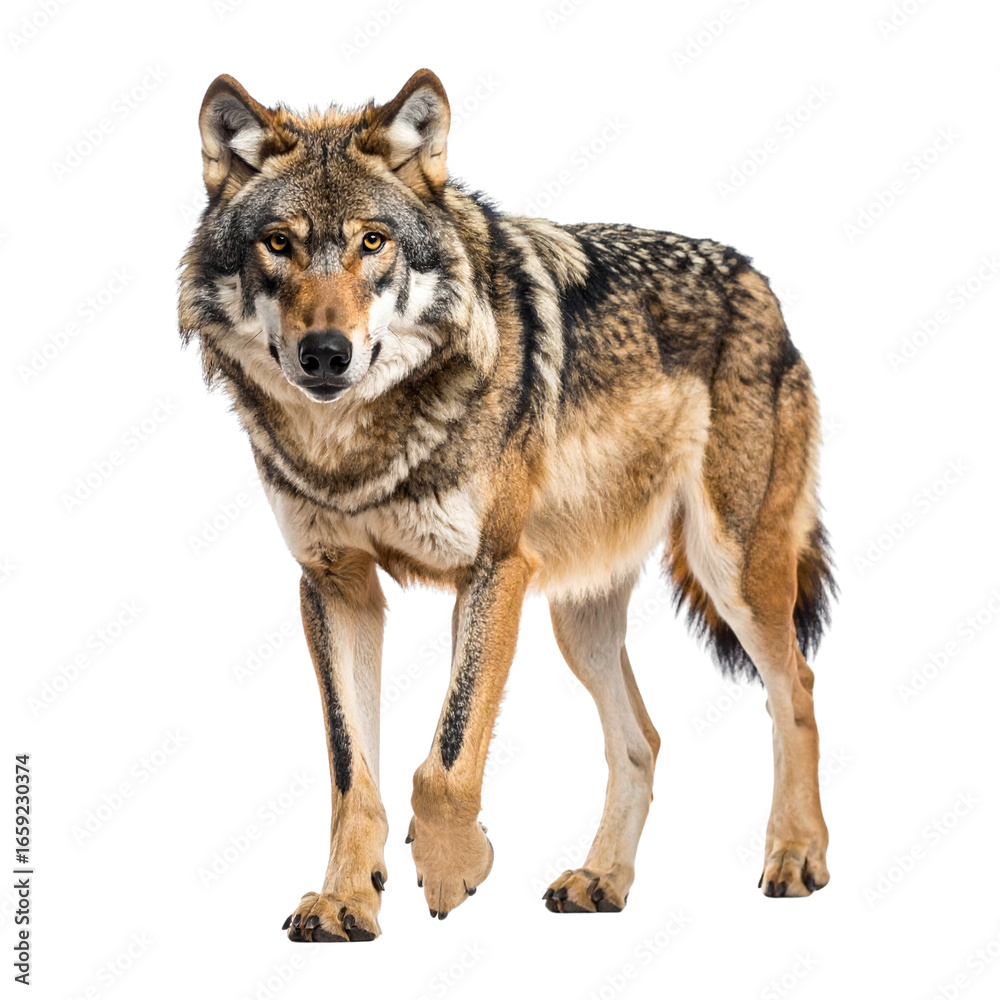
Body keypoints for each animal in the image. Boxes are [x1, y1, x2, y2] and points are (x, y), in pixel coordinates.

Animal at [179, 69, 835, 941]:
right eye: (278, 244)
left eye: (372, 242)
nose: (325, 354)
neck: (357, 450)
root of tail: (757, 277)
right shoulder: (335, 583)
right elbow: (354, 774)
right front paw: (346, 900)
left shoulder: (494, 570)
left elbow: (445, 760)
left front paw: (452, 867)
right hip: (576, 619)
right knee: (643, 739)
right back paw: (602, 879)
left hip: (731, 571)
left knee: (797, 690)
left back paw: (795, 855)